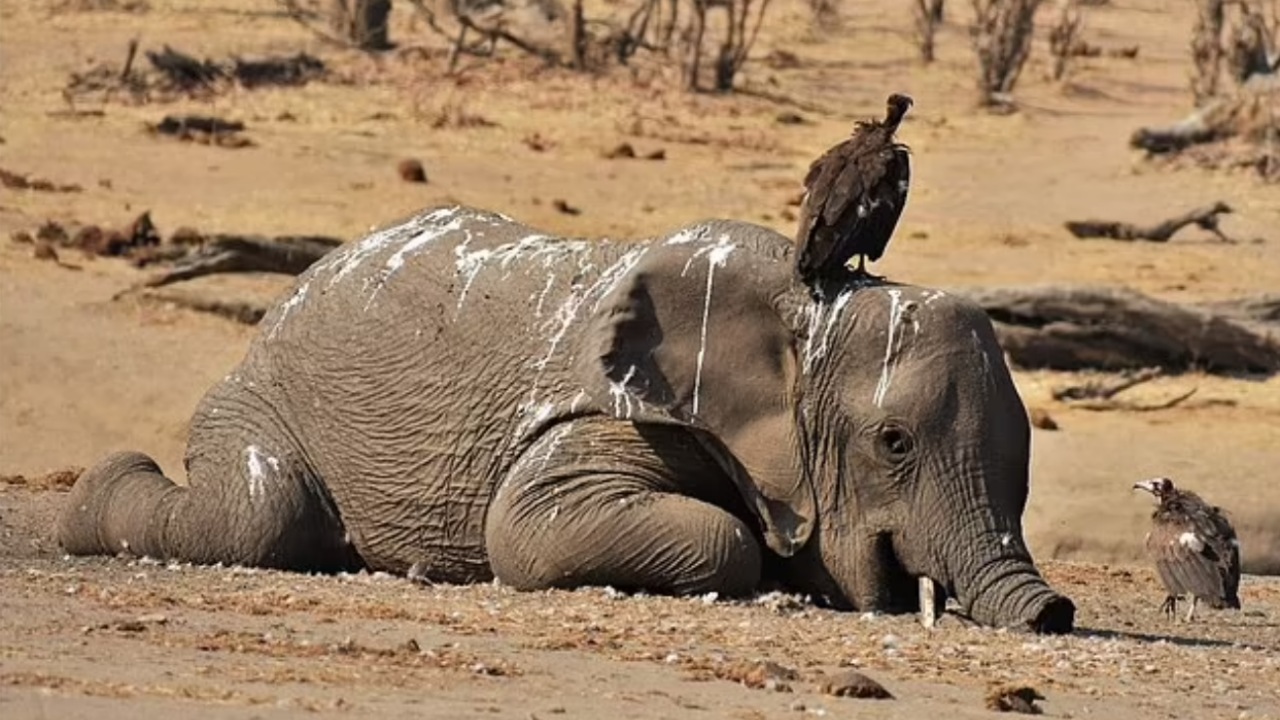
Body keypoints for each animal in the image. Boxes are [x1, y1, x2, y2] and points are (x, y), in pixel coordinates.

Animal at [62, 199, 1080, 627]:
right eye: (893, 442)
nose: (1056, 615)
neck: (801, 303)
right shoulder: (615, 411)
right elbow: (533, 527)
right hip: (259, 397)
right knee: (261, 513)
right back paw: (89, 505)